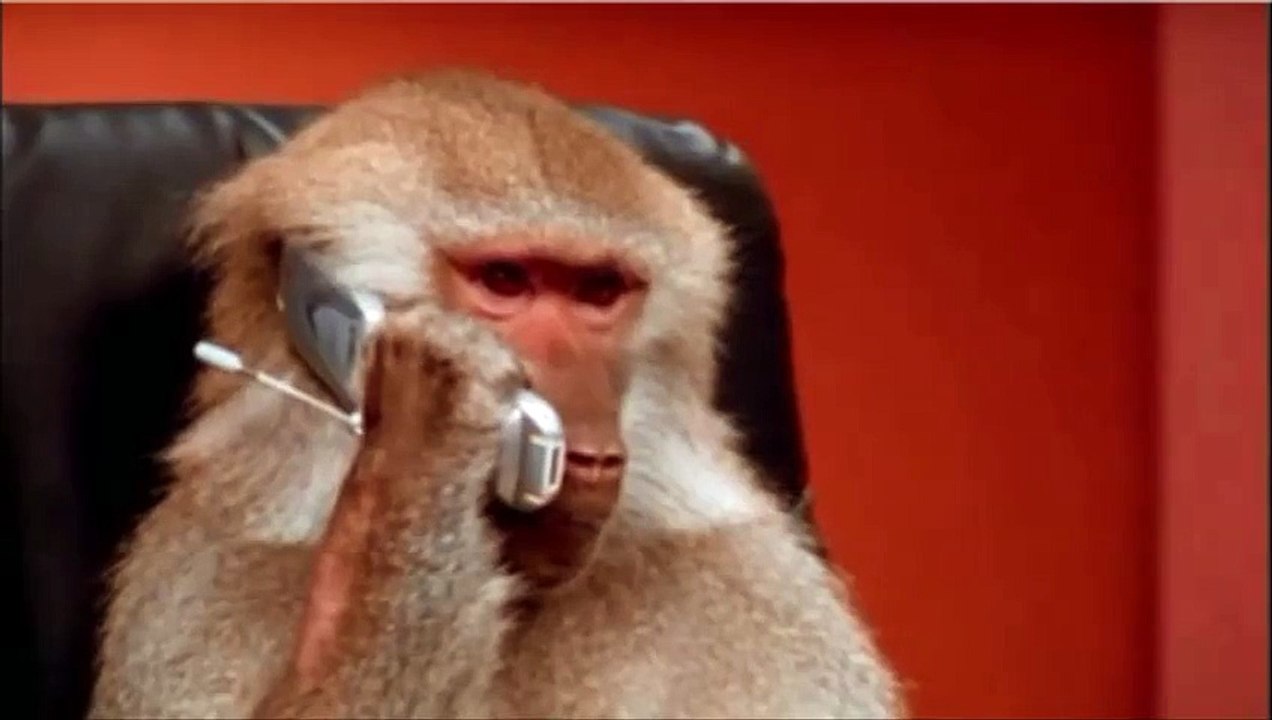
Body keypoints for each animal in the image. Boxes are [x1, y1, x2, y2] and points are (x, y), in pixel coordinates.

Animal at [89, 69, 902, 719]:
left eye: (599, 291)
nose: (586, 438)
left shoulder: (761, 591)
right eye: (506, 281)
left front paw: (410, 456)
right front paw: (412, 465)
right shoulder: (200, 573)